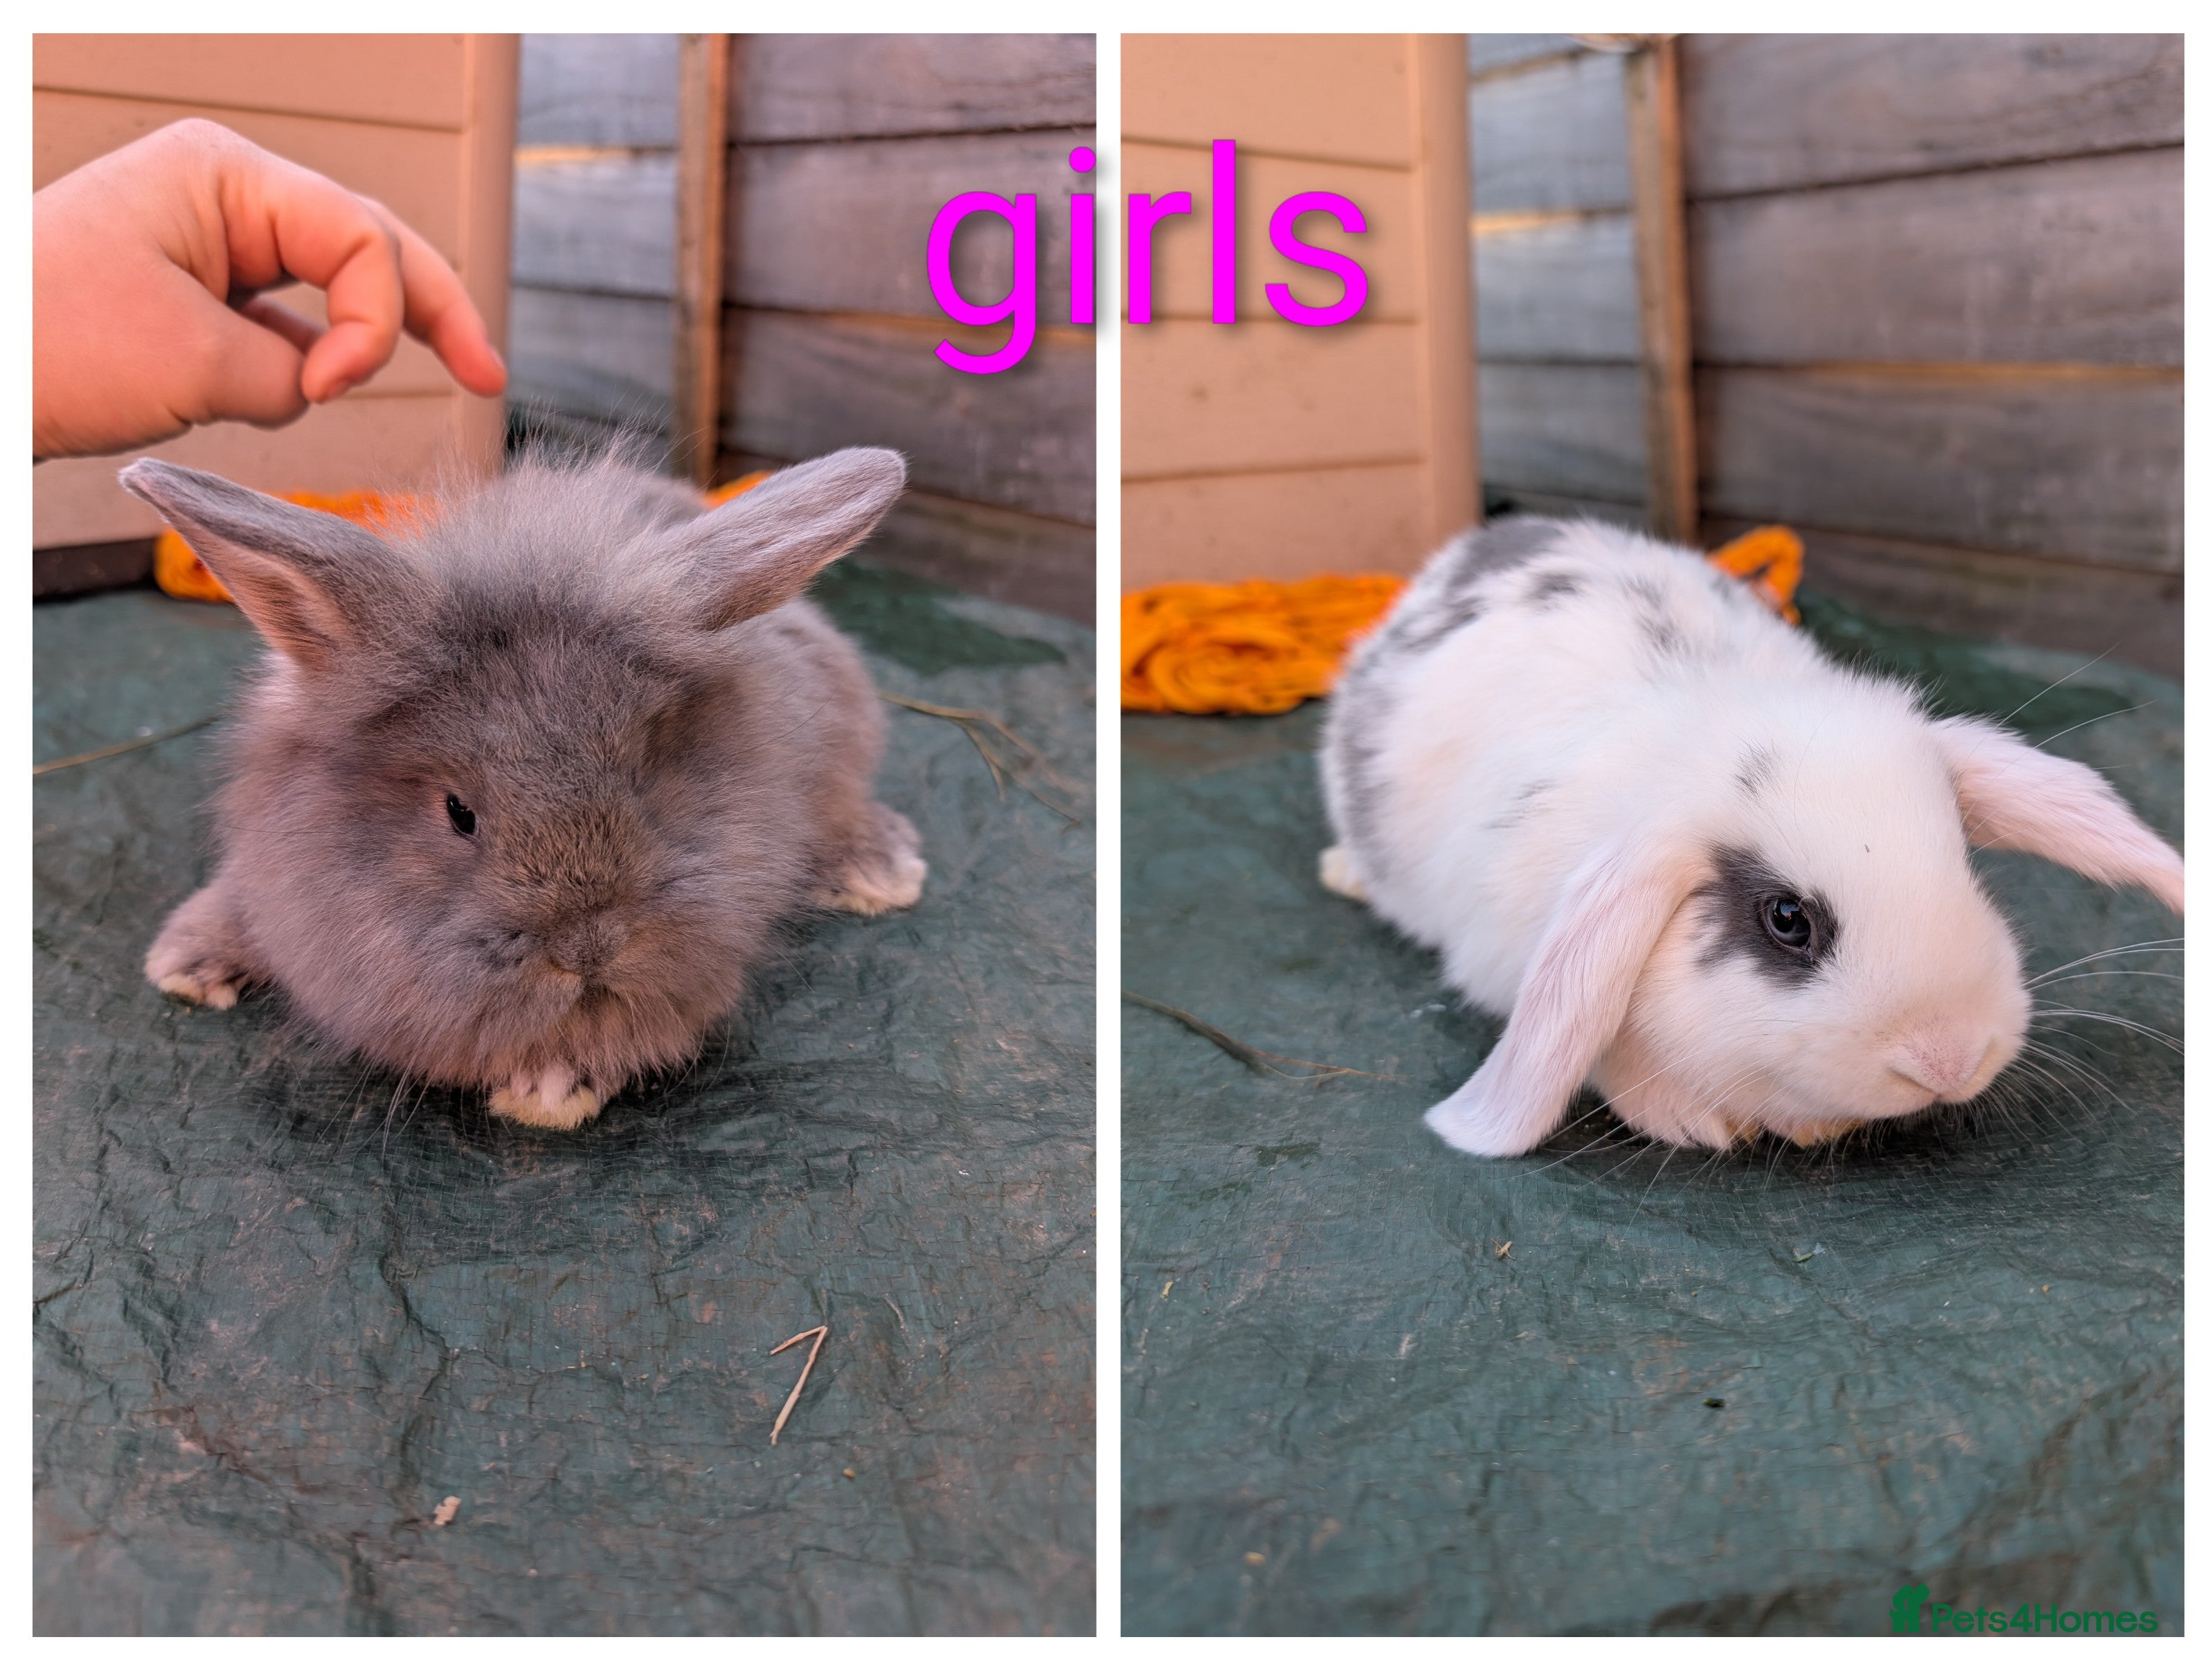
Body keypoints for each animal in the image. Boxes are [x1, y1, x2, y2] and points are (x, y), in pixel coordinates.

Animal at [120, 445, 928, 1132]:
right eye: (460, 814)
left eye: (643, 777)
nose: (589, 948)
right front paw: (184, 963)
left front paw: (552, 1086)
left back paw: (881, 870)